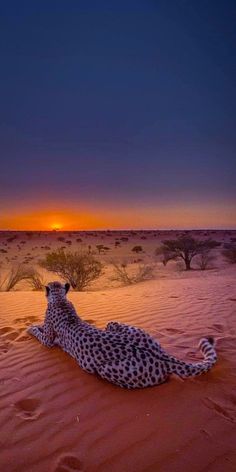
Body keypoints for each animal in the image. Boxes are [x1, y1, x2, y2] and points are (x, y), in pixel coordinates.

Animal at [27, 282, 218, 390]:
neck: (60, 299)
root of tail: (162, 356)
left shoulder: (48, 340)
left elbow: (41, 334)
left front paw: (30, 327)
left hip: (105, 369)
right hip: (115, 325)